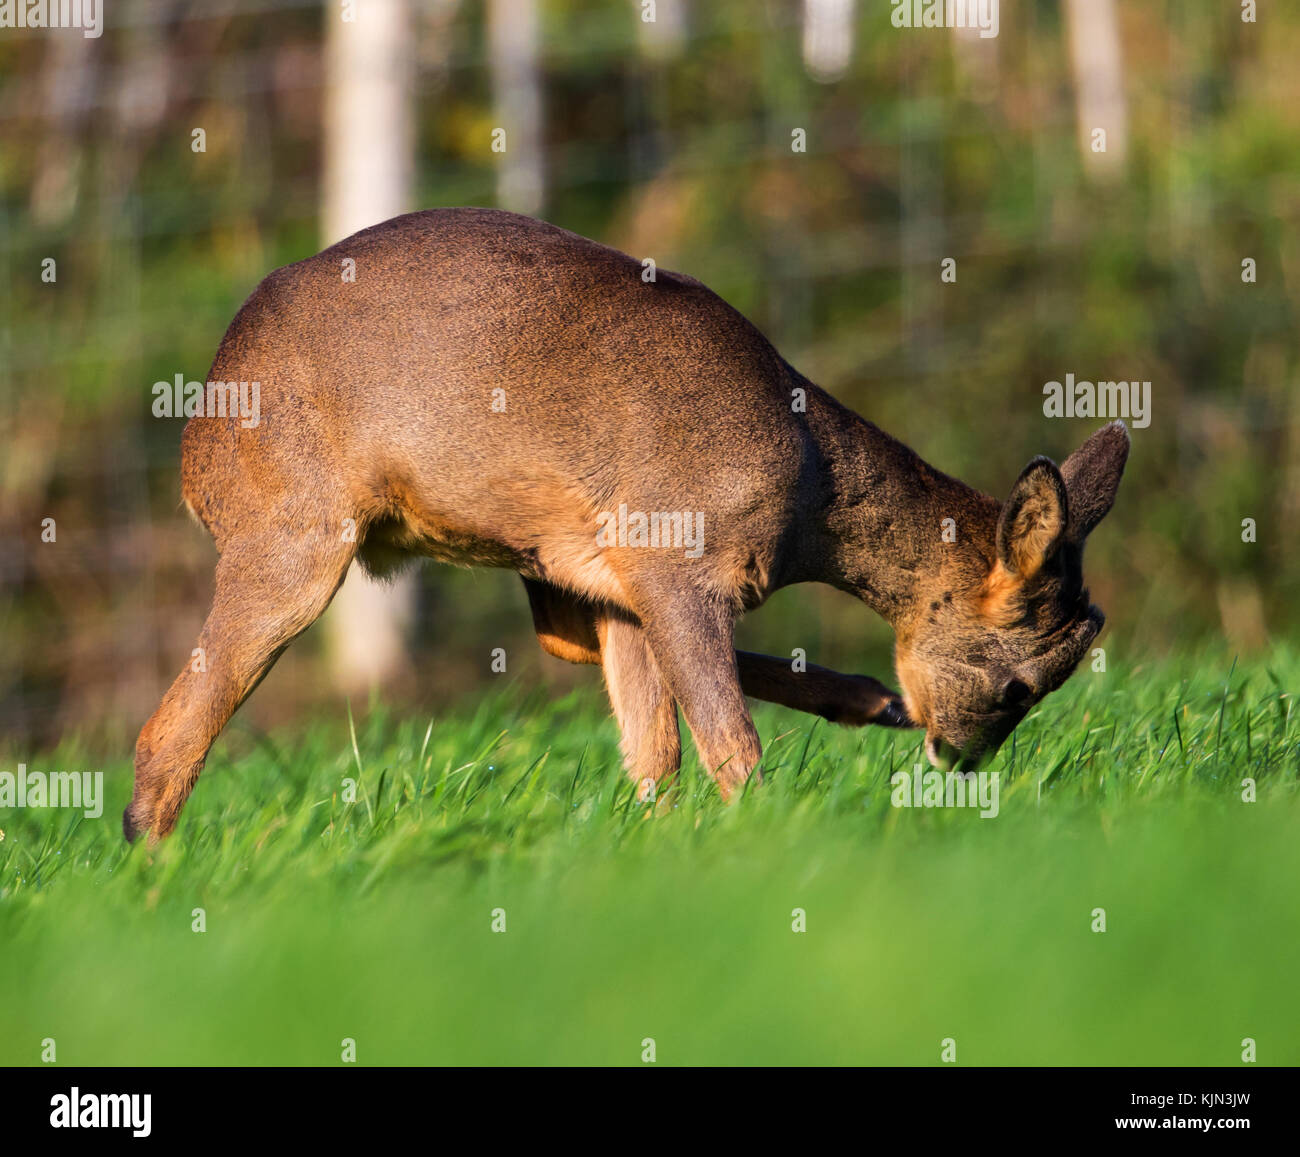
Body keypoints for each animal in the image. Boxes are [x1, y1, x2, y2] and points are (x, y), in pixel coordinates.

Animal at [125, 208, 1128, 841]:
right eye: (1018, 685)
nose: (959, 759)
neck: (807, 492)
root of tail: (198, 424)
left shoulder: (619, 575)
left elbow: (655, 757)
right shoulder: (674, 551)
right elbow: (727, 745)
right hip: (293, 530)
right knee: (163, 736)